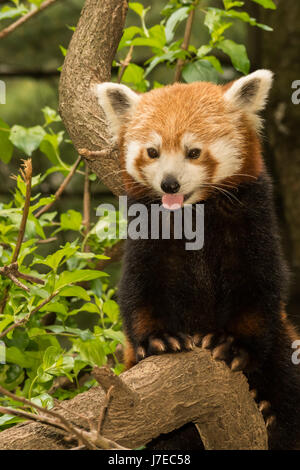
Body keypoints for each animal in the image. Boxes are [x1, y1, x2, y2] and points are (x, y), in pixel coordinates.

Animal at [94, 71, 300, 450]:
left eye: (193, 152)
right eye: (153, 152)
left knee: (286, 382)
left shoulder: (252, 222)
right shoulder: (148, 231)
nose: (169, 183)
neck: (193, 213)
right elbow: (139, 288)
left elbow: (258, 284)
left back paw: (268, 412)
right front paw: (158, 339)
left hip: (282, 341)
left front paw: (231, 344)